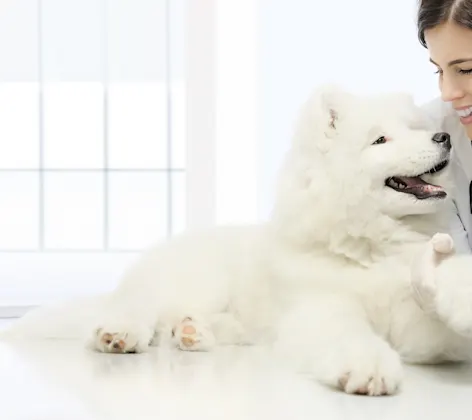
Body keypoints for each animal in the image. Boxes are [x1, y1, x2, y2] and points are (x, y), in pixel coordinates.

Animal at [3, 86, 472, 398]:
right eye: (380, 139)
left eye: (416, 129)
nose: (444, 138)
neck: (373, 245)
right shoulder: (320, 308)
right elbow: (347, 333)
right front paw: (366, 367)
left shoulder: (415, 323)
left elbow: (438, 307)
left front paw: (458, 299)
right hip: (196, 279)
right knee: (139, 309)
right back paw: (120, 334)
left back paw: (194, 331)